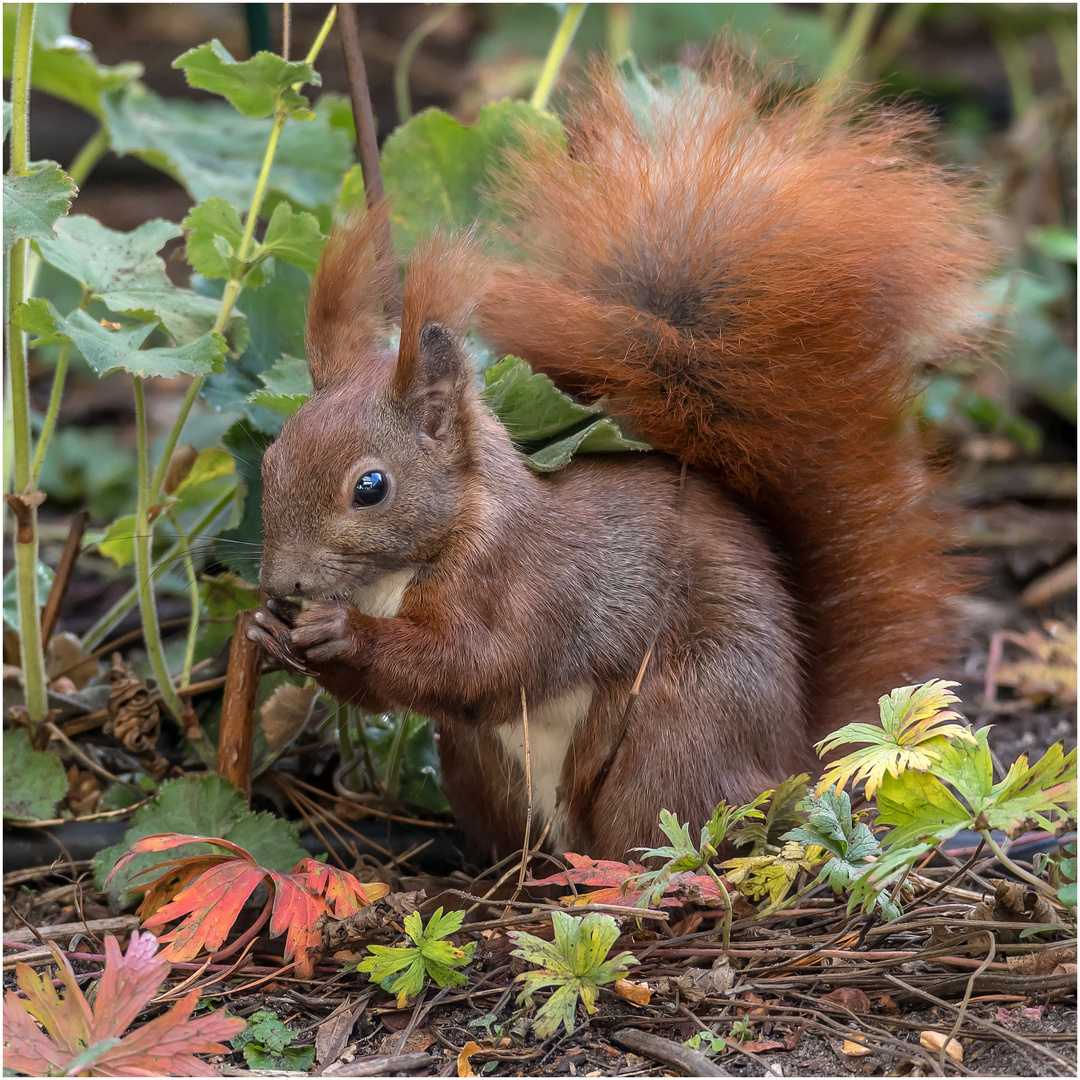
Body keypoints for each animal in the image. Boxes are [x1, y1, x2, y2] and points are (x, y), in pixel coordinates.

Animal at [248, 61, 989, 859]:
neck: (409, 566)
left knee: (671, 838)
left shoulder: (533, 586)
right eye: (270, 460)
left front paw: (339, 632)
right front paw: (268, 631)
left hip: (674, 734)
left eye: (371, 487)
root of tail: (788, 760)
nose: (281, 583)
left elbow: (478, 664)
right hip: (481, 772)